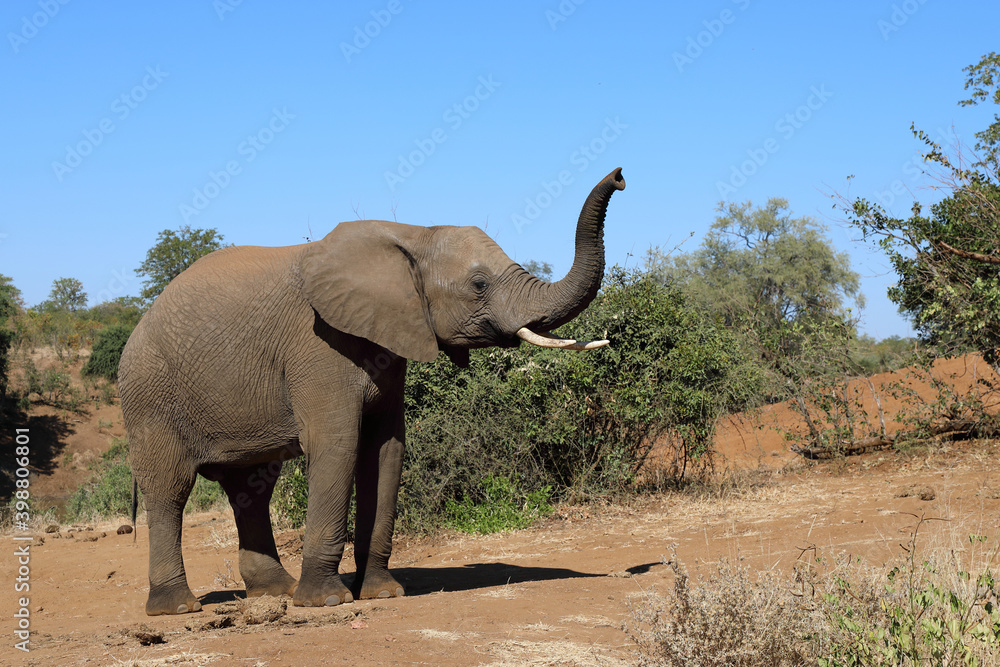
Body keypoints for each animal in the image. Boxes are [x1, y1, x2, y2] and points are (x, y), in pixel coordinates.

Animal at [118, 167, 625, 615]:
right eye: (479, 285)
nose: (620, 176)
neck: (413, 235)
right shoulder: (319, 346)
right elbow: (338, 445)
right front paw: (326, 602)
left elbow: (386, 449)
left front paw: (382, 594)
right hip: (150, 395)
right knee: (170, 489)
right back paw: (177, 608)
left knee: (252, 487)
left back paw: (276, 593)